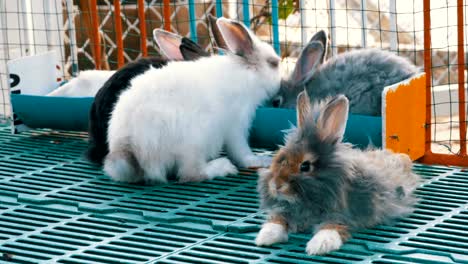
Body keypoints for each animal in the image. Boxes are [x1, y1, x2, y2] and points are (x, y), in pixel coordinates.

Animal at [105, 17, 282, 184]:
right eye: (274, 63)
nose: (280, 83)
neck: (247, 73)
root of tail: (128, 147)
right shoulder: (236, 125)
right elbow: (241, 151)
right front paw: (260, 160)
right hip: (195, 141)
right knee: (190, 173)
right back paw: (222, 167)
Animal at [256, 90, 420, 254]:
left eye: (305, 166)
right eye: (278, 158)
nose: (275, 186)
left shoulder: (343, 215)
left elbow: (331, 228)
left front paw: (318, 246)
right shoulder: (286, 211)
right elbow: (277, 220)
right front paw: (265, 237)